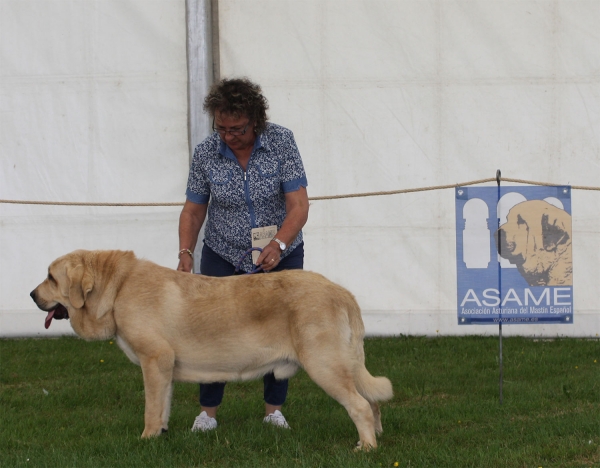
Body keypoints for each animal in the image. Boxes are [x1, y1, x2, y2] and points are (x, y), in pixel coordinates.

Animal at [30, 249, 394, 450]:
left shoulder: (154, 360)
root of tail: (341, 292)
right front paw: (161, 434)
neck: (117, 288)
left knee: (360, 406)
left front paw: (146, 439)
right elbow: (163, 405)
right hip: (346, 364)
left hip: (325, 365)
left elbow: (150, 408)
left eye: (50, 277)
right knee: (373, 403)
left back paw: (364, 448)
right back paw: (376, 439)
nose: (32, 295)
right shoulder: (164, 367)